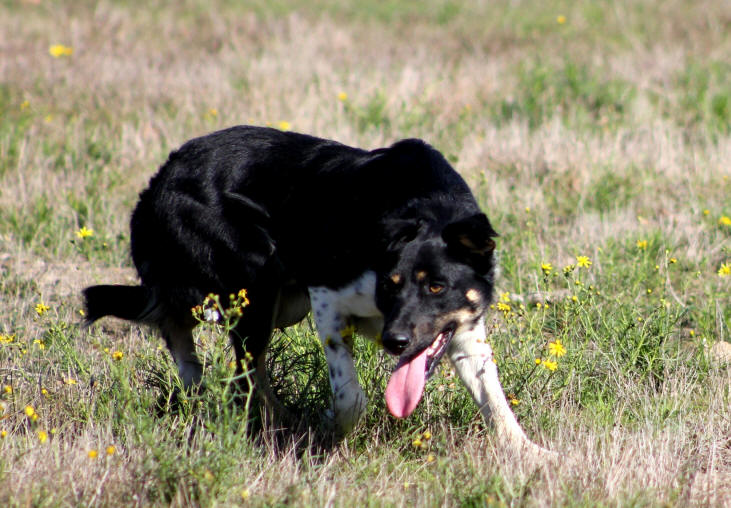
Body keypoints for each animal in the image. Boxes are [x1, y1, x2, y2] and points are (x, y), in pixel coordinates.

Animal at [81, 125, 548, 454]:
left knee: (196, 340)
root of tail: (159, 179)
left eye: (437, 287)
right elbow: (350, 397)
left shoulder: (466, 333)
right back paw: (269, 423)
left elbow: (495, 402)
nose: (395, 342)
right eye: (390, 285)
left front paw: (533, 455)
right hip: (256, 282)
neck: (428, 206)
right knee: (236, 367)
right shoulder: (327, 295)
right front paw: (327, 431)